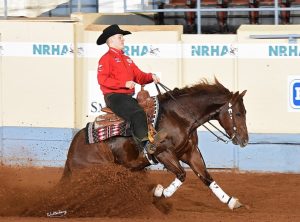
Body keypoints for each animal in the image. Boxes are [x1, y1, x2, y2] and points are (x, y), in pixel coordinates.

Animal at [62, 78, 247, 210]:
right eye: (238, 113)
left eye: (244, 112)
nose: (245, 140)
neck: (179, 116)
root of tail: (73, 150)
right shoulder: (163, 153)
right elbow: (181, 175)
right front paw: (159, 192)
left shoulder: (190, 152)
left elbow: (207, 178)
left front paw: (231, 201)